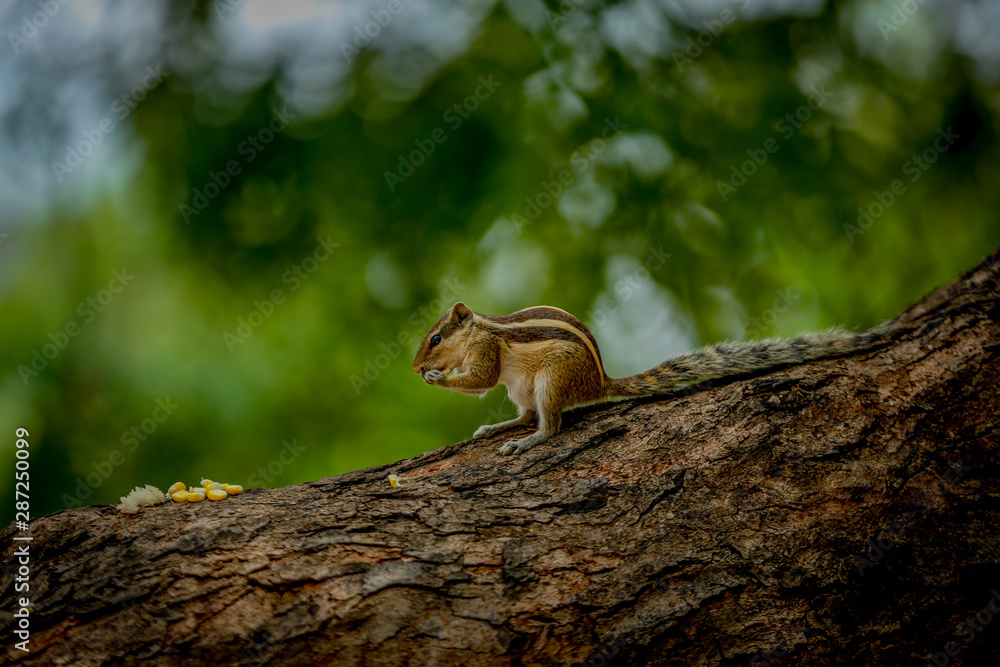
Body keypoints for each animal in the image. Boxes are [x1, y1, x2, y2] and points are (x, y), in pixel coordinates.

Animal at [413, 302, 886, 455]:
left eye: (435, 338)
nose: (416, 368)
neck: (478, 329)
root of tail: (598, 383)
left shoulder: (487, 351)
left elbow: (480, 379)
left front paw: (438, 377)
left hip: (550, 381)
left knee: (549, 425)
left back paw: (527, 442)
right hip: (523, 389)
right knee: (526, 415)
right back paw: (498, 427)